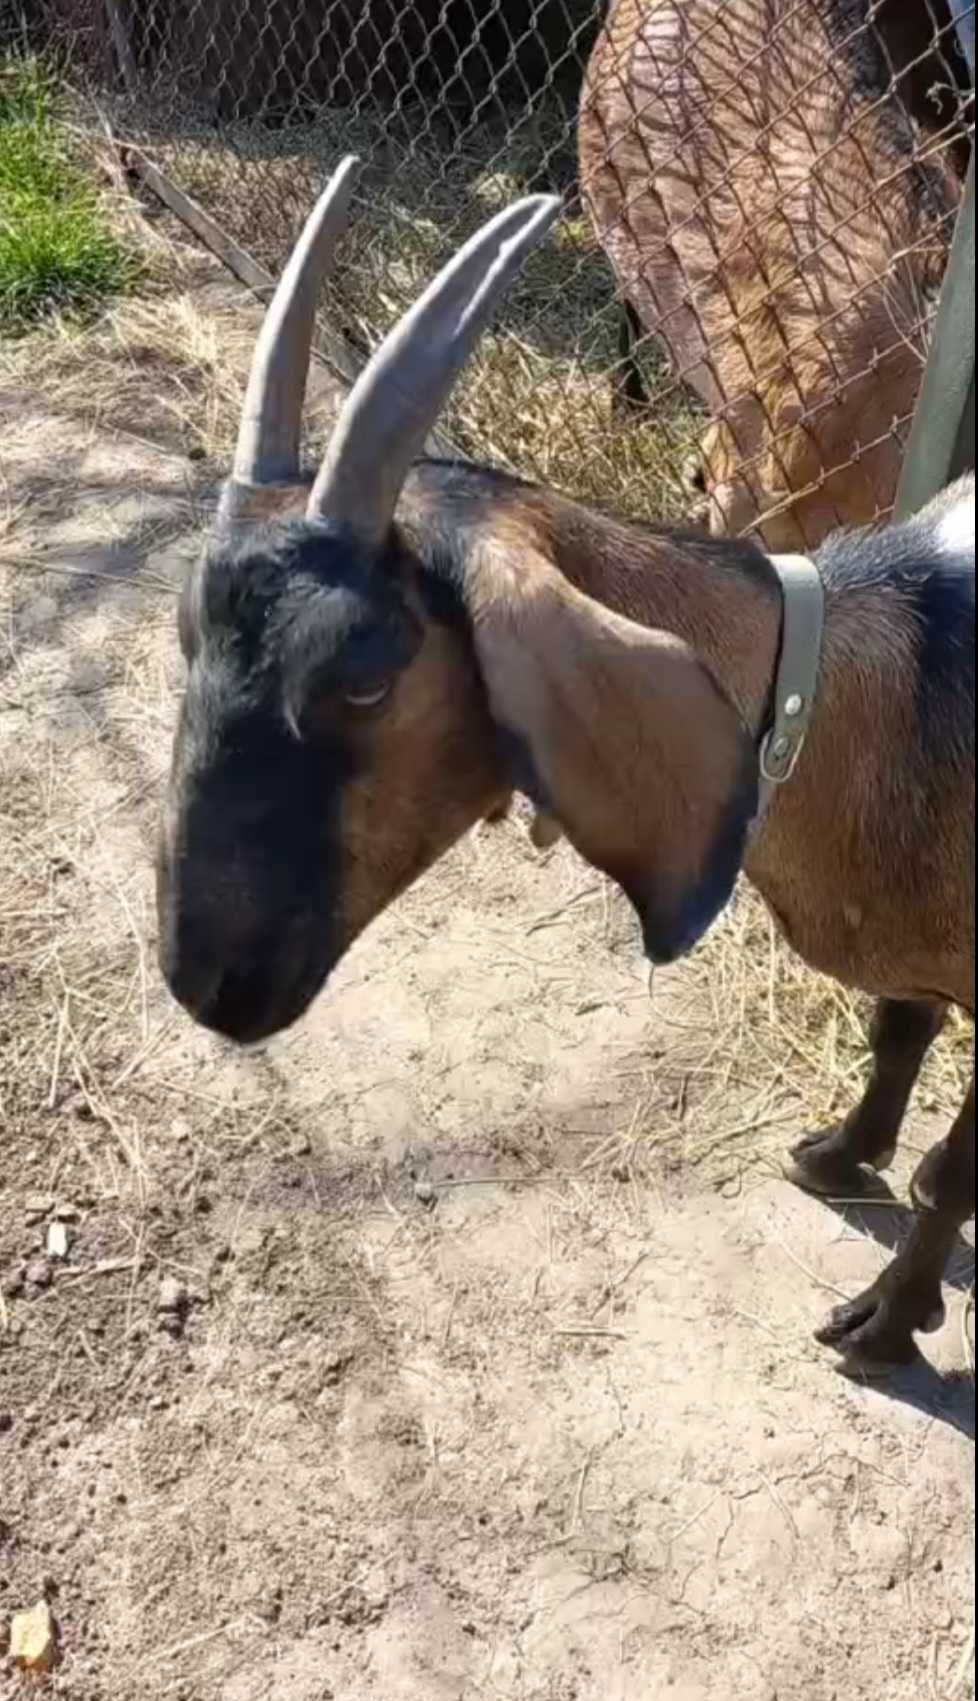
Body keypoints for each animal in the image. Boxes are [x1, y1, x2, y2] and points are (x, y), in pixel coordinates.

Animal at [156, 165, 972, 1374]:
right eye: (188, 629)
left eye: (365, 680)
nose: (201, 976)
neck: (903, 688)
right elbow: (899, 1029)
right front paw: (840, 1152)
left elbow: (948, 1171)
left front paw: (885, 1319)